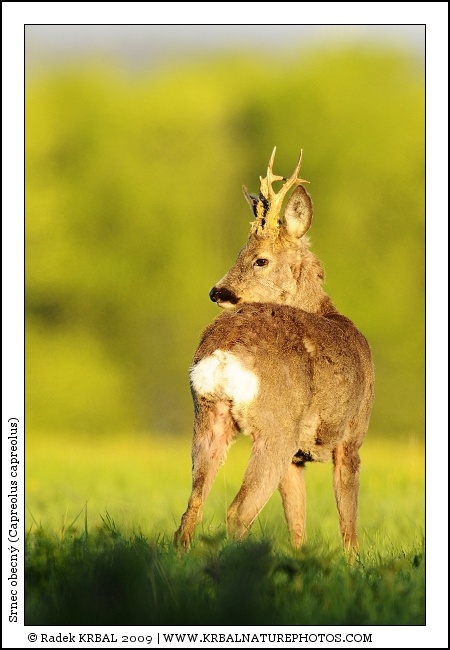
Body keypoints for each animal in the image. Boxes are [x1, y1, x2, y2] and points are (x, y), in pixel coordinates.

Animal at [174, 148, 374, 552]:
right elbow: (348, 525)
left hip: (209, 417)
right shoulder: (351, 437)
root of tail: (224, 353)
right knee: (238, 512)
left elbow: (297, 525)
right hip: (276, 426)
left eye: (259, 258)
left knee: (192, 507)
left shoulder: (298, 457)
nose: (218, 292)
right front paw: (353, 564)